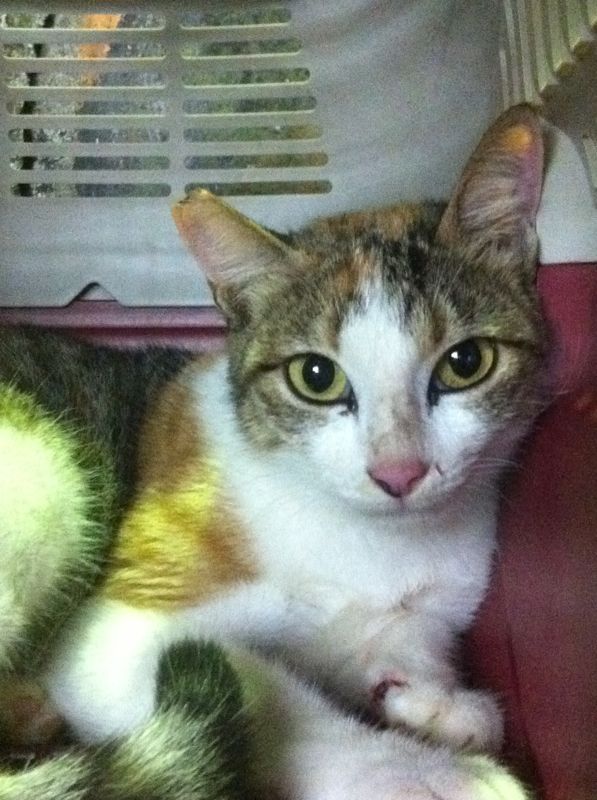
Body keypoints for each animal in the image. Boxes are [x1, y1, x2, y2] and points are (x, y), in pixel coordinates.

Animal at [0, 103, 546, 799]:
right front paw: (432, 774)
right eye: (316, 377)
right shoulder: (113, 634)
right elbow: (267, 694)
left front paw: (434, 700)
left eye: (466, 362)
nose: (399, 472)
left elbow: (402, 637)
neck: (372, 545)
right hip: (41, 482)